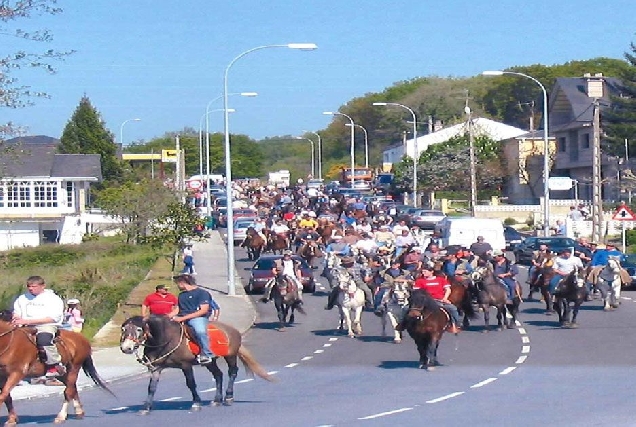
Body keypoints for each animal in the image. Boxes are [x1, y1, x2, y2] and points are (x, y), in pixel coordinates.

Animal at [120, 316, 274, 412]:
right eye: (123, 329)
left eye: (139, 329)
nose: (126, 348)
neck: (165, 339)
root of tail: (233, 330)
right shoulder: (156, 368)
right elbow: (151, 387)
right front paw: (146, 407)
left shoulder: (185, 365)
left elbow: (191, 384)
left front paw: (196, 403)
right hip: (210, 362)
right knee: (218, 375)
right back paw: (217, 400)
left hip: (230, 355)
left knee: (232, 372)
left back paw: (229, 397)